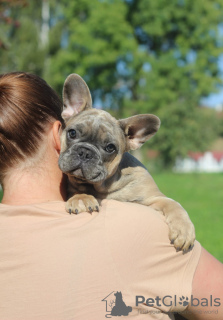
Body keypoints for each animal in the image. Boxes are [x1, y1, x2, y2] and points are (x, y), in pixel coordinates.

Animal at [58, 74, 195, 251]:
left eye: (110, 147)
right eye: (72, 133)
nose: (85, 152)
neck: (105, 187)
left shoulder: (153, 198)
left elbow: (174, 204)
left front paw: (183, 229)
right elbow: (77, 190)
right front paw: (82, 198)